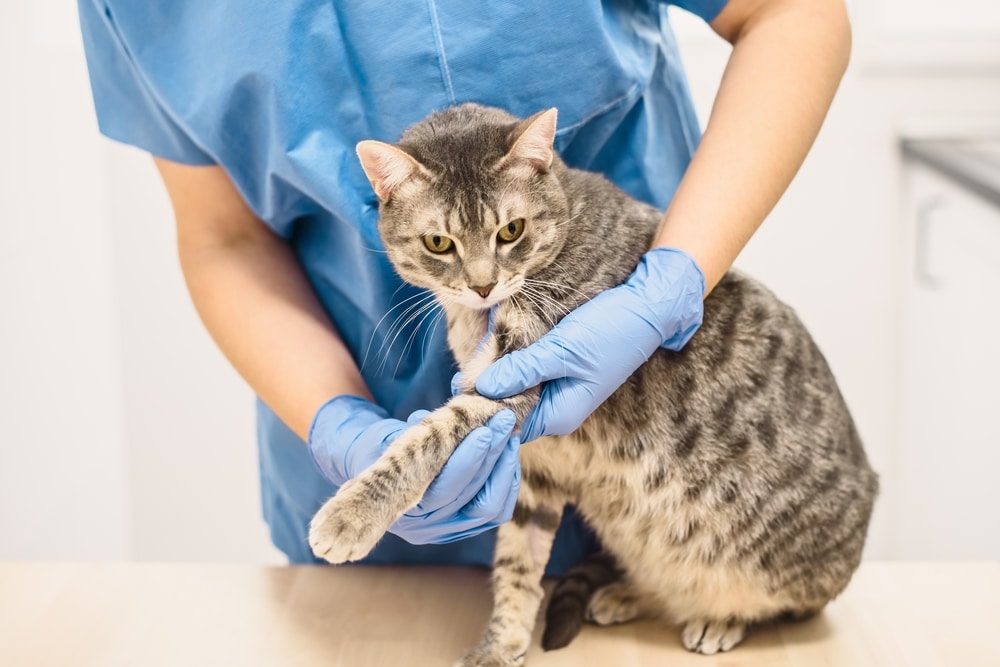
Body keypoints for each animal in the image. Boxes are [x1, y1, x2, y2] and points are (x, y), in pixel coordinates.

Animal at [308, 102, 880, 664]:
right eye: (438, 243)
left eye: (511, 231)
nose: (483, 285)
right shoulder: (534, 467)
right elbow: (517, 562)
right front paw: (503, 642)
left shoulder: (512, 382)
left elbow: (427, 440)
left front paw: (350, 515)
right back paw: (624, 594)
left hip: (787, 574)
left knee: (778, 606)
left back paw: (720, 618)